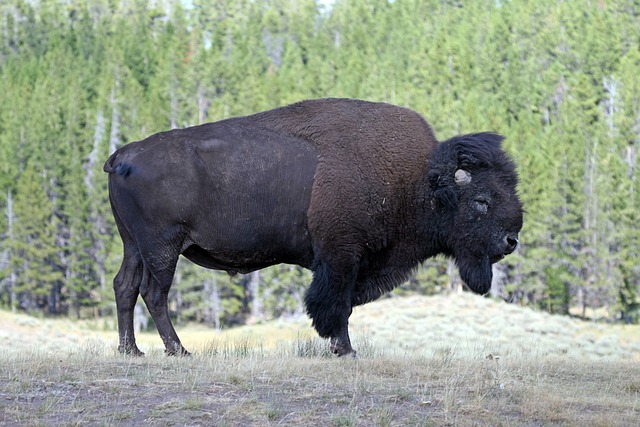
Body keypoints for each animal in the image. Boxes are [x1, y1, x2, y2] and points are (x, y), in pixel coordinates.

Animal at [105, 98, 524, 358]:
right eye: (482, 200)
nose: (511, 240)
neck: (418, 180)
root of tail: (123, 154)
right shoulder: (341, 259)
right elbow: (336, 306)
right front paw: (346, 350)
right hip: (163, 246)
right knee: (154, 293)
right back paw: (179, 350)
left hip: (134, 246)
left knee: (125, 286)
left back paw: (132, 351)